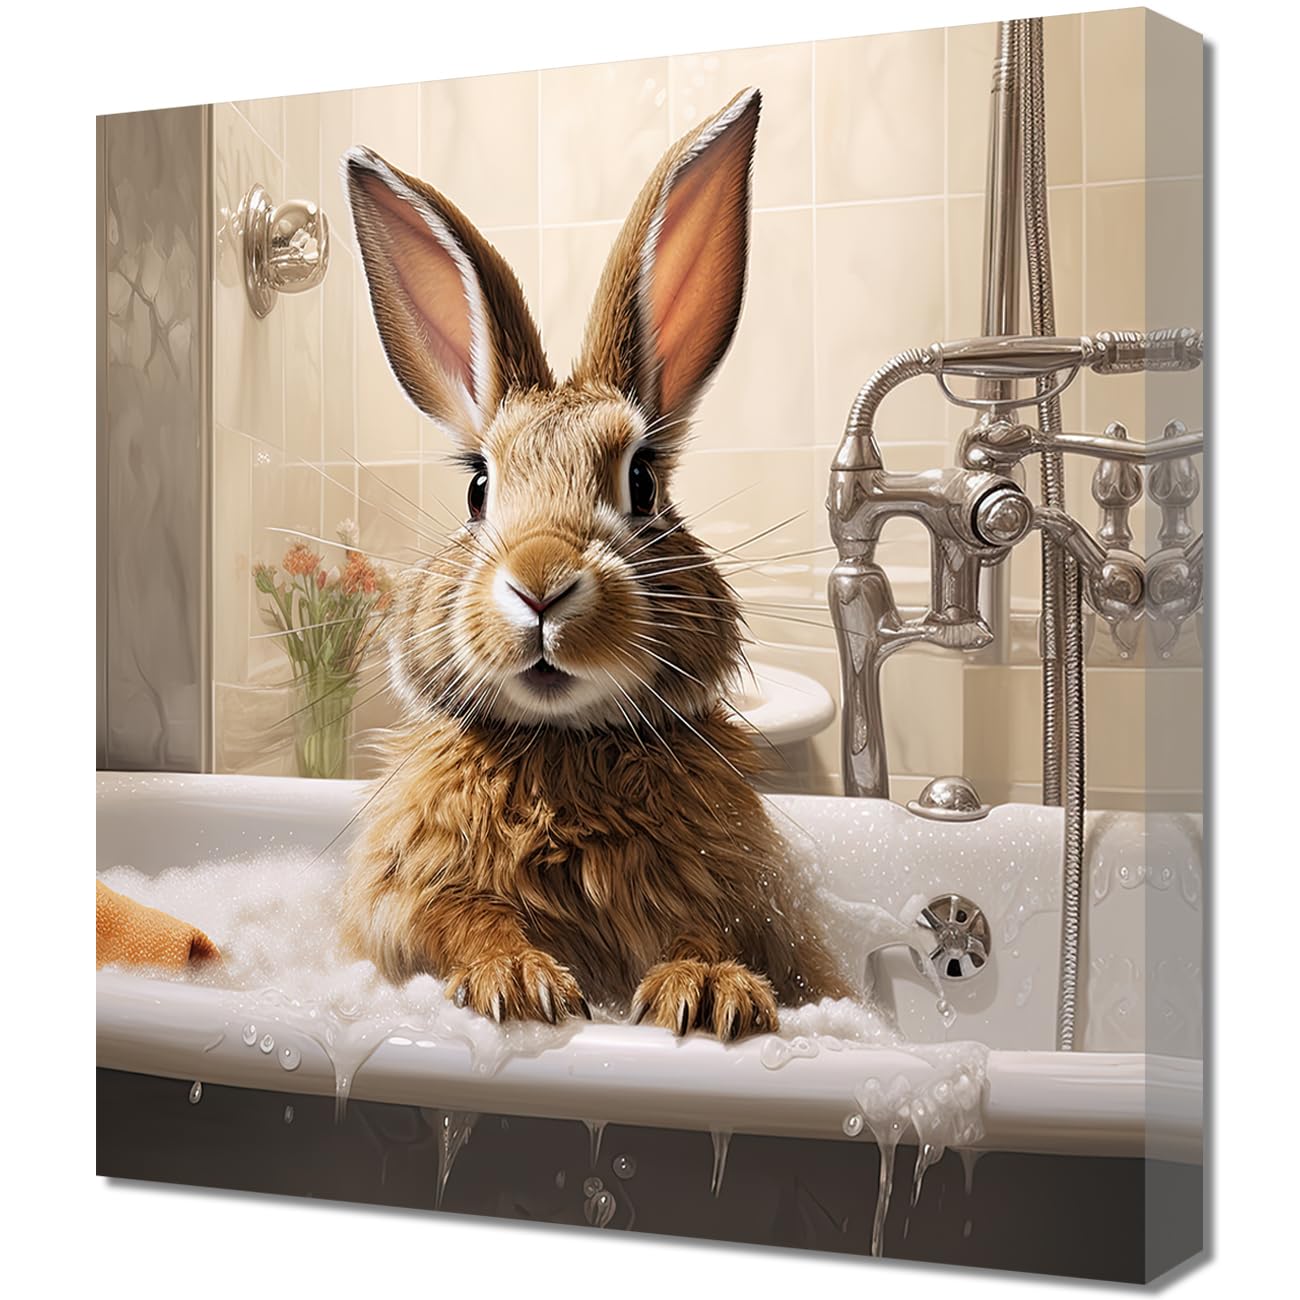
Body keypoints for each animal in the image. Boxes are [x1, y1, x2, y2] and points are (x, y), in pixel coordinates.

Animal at [339, 87, 850, 1041]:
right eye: (477, 488)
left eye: (642, 481)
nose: (540, 584)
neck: (564, 749)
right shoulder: (409, 898)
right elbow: (464, 917)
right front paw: (519, 981)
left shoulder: (730, 896)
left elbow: (699, 928)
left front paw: (707, 994)